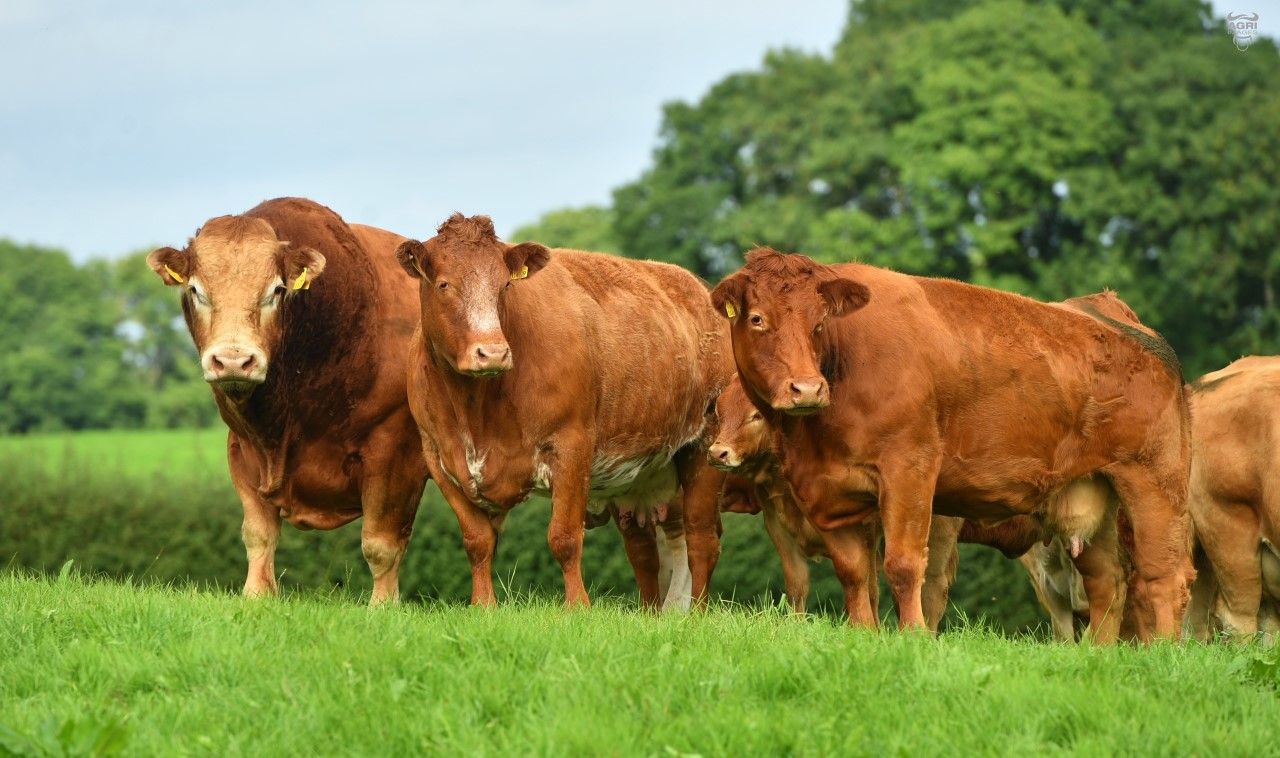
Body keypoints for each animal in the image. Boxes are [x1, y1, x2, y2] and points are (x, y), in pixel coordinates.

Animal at [146, 197, 429, 604]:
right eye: (197, 290)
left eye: (277, 291)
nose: (233, 360)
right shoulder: (243, 448)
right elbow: (258, 534)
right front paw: (255, 596)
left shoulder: (395, 449)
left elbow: (382, 543)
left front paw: (383, 606)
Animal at [395, 214, 731, 609]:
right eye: (444, 284)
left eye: (504, 285)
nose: (492, 353)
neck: (475, 409)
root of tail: (696, 287)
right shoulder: (439, 457)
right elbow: (478, 541)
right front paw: (483, 606)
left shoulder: (572, 445)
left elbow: (564, 538)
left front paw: (578, 607)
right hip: (640, 477)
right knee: (645, 550)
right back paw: (654, 612)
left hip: (703, 449)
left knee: (701, 539)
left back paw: (695, 612)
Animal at [710, 248, 1192, 639]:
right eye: (757, 319)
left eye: (819, 321)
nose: (807, 389)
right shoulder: (832, 494)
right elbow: (854, 574)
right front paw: (865, 635)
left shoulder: (910, 472)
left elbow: (905, 566)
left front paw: (913, 637)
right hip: (1090, 497)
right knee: (1108, 584)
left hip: (1154, 484)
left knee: (1164, 577)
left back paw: (1161, 652)